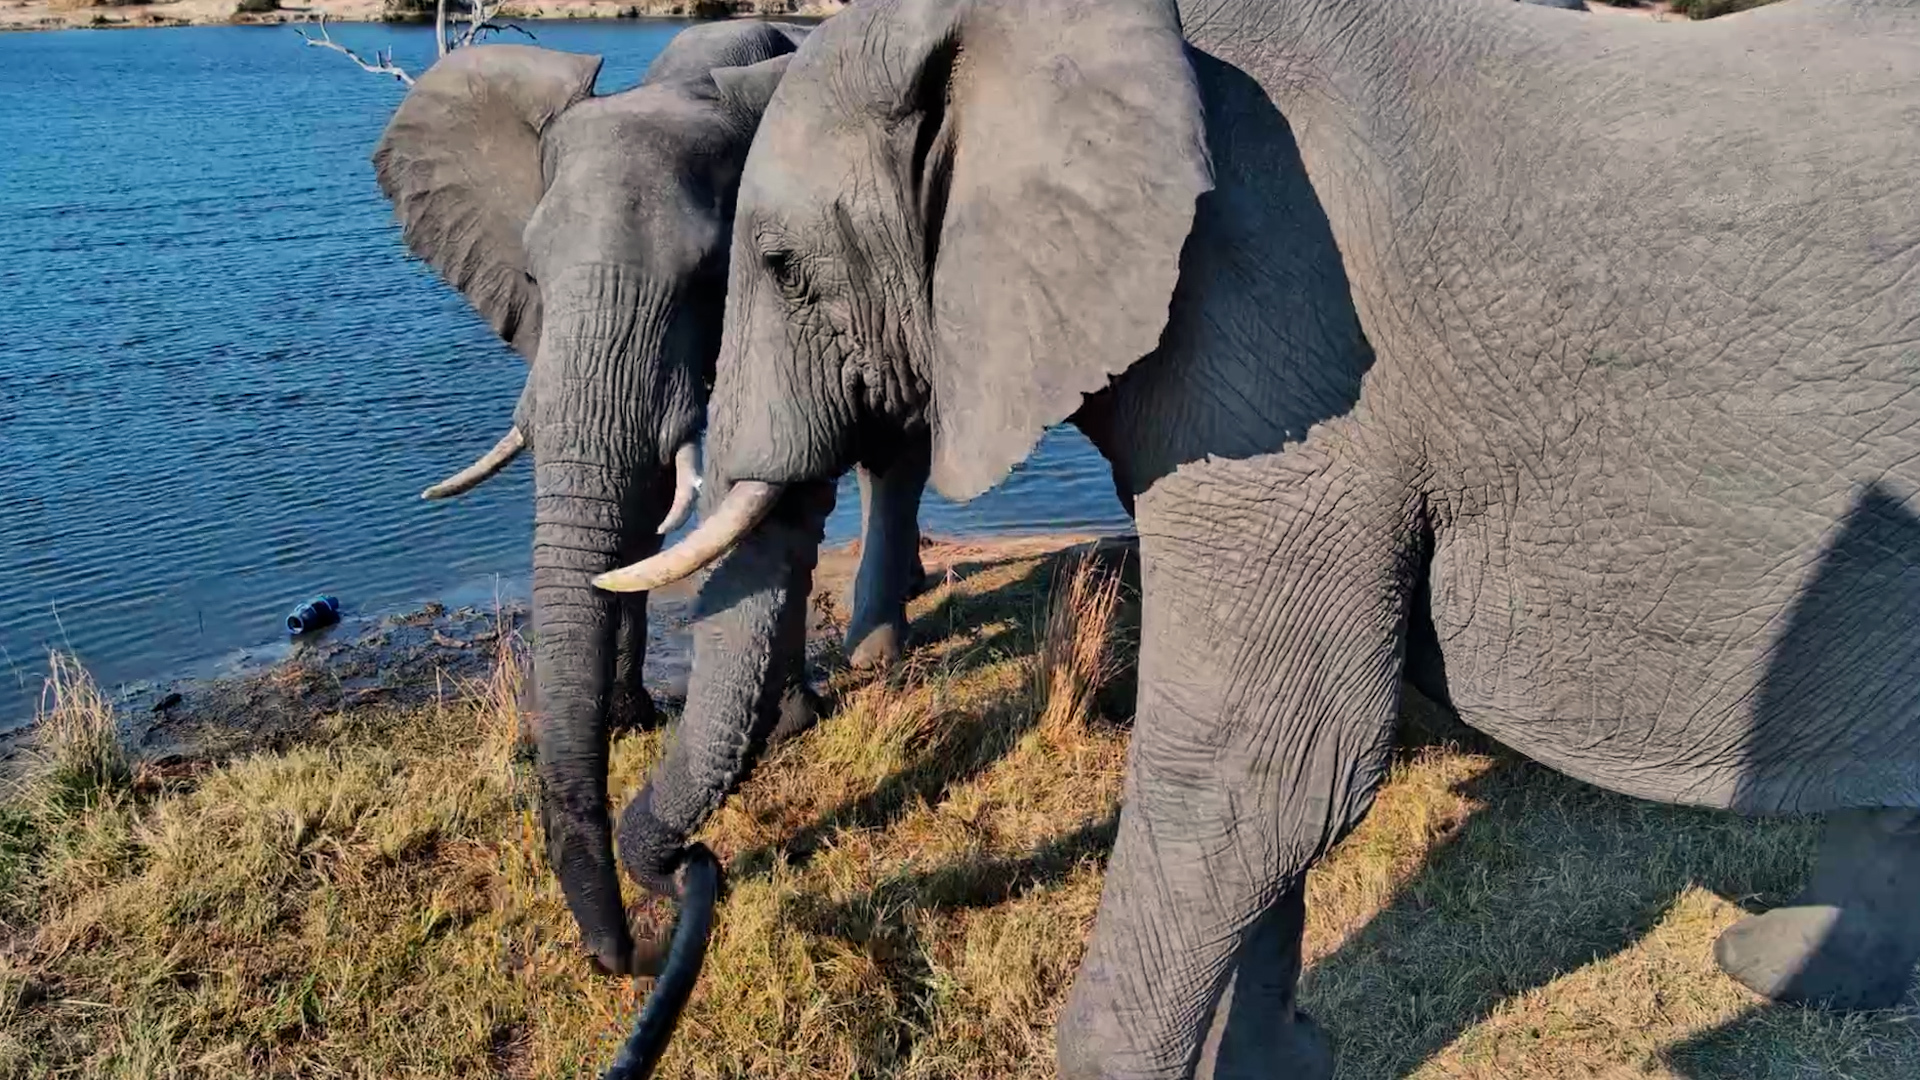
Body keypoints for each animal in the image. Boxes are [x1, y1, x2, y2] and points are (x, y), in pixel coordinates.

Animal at [368, 23, 933, 978]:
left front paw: (786, 724)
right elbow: (633, 504)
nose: (623, 955)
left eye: (709, 274)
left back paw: (877, 650)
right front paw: (631, 719)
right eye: (530, 273)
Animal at [592, 0, 1920, 1075]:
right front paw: (1285, 1065)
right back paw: (1774, 970)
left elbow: (1267, 764)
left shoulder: (1287, 344)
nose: (674, 900)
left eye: (781, 264)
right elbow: (1267, 782)